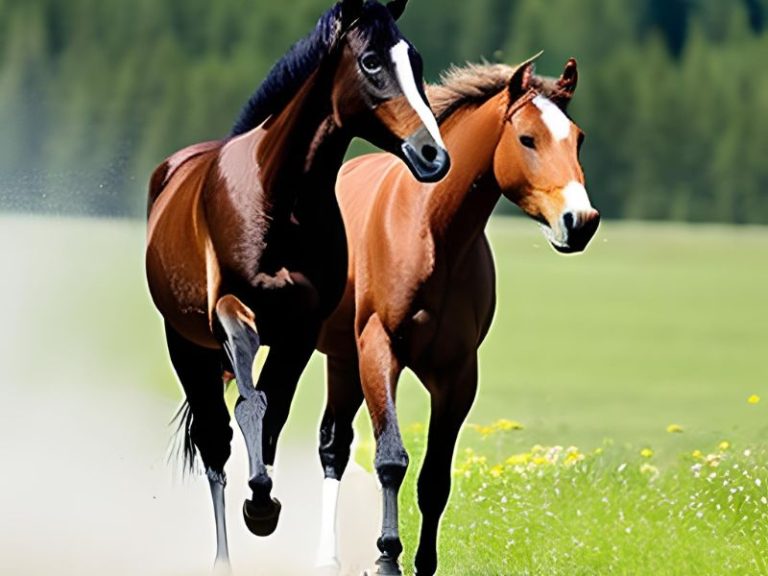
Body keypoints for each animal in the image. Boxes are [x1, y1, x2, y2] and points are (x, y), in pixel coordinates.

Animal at [145, 0, 450, 570]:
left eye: (416, 61)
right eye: (372, 61)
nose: (432, 155)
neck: (278, 198)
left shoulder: (301, 330)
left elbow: (275, 410)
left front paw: (263, 502)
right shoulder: (231, 311)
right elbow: (250, 407)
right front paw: (259, 507)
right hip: (187, 345)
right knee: (214, 440)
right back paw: (224, 556)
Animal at [315, 56, 600, 575]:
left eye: (579, 137)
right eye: (527, 138)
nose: (580, 222)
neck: (431, 231)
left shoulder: (458, 373)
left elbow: (435, 480)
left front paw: (424, 562)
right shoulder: (380, 350)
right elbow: (391, 459)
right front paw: (387, 555)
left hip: (343, 359)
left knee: (334, 442)